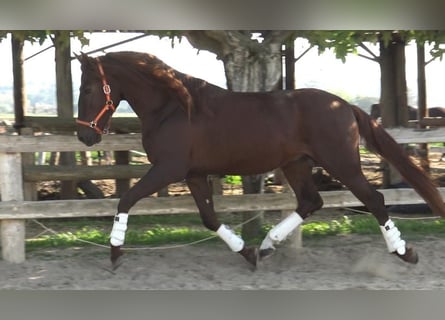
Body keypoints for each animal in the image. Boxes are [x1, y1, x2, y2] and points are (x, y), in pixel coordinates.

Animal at [76, 52, 444, 270]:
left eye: (89, 88)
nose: (84, 136)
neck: (174, 109)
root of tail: (343, 105)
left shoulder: (168, 169)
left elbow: (125, 199)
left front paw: (115, 252)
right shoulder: (193, 174)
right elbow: (210, 219)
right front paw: (248, 252)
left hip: (343, 164)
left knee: (375, 200)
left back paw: (406, 252)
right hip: (297, 164)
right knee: (311, 201)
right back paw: (267, 246)